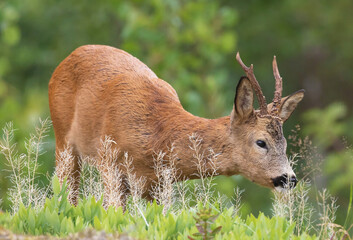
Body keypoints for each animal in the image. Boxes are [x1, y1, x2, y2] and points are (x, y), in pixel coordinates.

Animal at [48, 45, 304, 204]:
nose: (289, 178)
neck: (157, 136)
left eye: (285, 143)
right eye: (261, 142)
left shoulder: (160, 184)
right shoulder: (110, 163)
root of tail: (65, 59)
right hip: (63, 139)